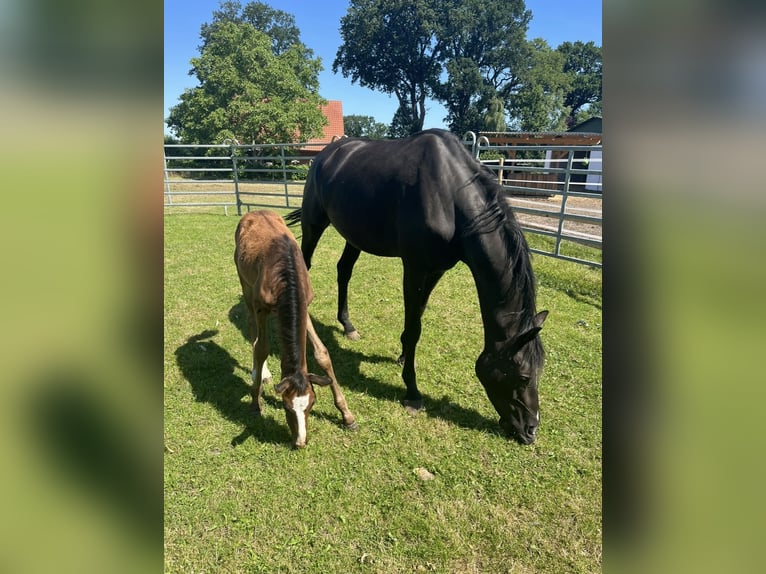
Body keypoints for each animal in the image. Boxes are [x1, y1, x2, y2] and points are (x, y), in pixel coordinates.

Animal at [284, 129, 548, 446]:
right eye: (522, 376)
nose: (531, 430)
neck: (450, 196)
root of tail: (325, 154)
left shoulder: (437, 270)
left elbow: (417, 316)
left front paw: (401, 356)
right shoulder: (414, 268)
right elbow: (414, 328)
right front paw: (412, 390)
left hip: (354, 235)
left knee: (344, 271)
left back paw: (347, 325)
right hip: (314, 223)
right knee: (306, 264)